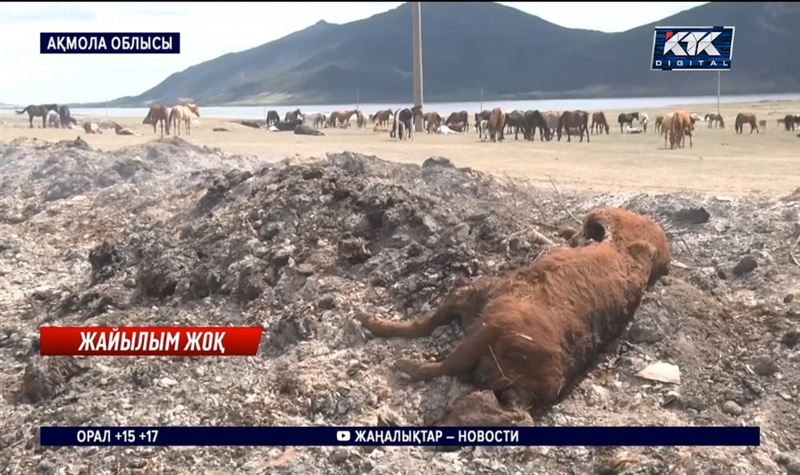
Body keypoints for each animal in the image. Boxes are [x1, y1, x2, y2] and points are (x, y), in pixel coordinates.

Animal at [356, 207, 668, 424]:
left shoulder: (470, 294)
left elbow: (423, 323)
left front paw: (366, 320)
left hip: (483, 325)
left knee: (443, 364)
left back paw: (398, 357)